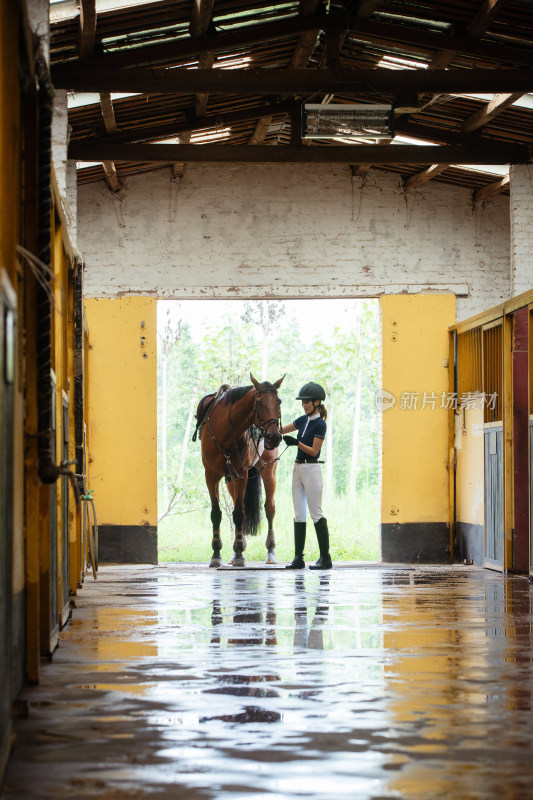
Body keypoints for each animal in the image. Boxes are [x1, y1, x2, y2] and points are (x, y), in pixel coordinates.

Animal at [194, 376, 284, 568]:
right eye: (258, 402)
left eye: (278, 401)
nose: (274, 437)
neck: (226, 431)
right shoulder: (211, 476)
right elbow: (216, 514)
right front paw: (217, 554)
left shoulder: (242, 474)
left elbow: (238, 514)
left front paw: (239, 554)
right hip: (230, 480)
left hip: (269, 472)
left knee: (269, 508)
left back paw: (270, 551)